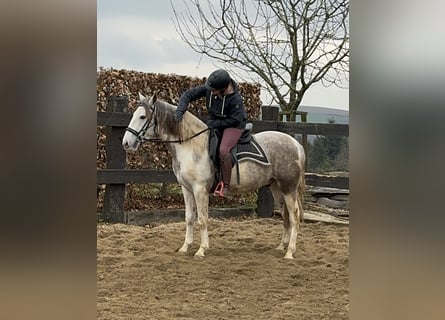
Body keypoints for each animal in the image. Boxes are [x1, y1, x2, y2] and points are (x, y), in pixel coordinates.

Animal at [122, 92, 306, 260]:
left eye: (142, 116)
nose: (126, 143)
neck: (190, 144)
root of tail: (296, 144)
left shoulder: (199, 189)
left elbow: (202, 219)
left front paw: (201, 250)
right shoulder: (186, 189)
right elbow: (189, 218)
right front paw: (185, 247)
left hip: (288, 188)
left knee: (294, 215)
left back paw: (290, 252)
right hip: (276, 187)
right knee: (285, 215)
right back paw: (281, 247)